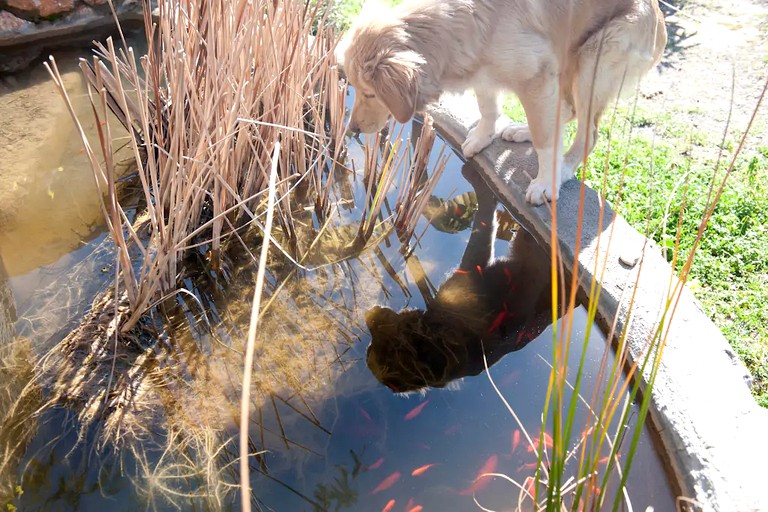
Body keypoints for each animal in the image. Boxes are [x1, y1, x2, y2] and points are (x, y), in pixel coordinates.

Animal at [338, 0, 664, 204]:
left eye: (370, 93)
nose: (352, 128)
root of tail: (660, 24)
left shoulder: (537, 75)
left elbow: (546, 142)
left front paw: (545, 182)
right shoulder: (484, 72)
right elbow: (488, 108)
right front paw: (483, 138)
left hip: (591, 64)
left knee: (587, 133)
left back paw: (563, 169)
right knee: (565, 112)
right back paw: (522, 130)